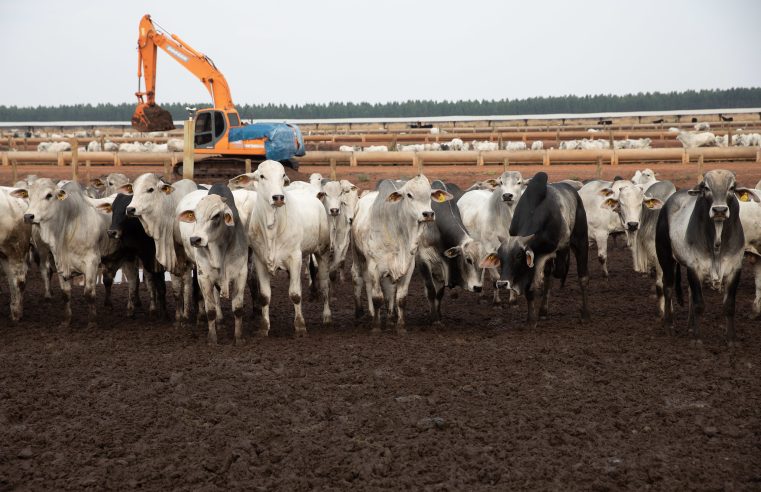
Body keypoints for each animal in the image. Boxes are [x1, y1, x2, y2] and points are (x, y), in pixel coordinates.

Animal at [478, 171, 592, 328]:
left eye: (518, 256)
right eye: (500, 257)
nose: (502, 283)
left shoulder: (545, 254)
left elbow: (538, 284)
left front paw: (532, 320)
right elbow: (531, 289)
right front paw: (531, 319)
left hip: (580, 240)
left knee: (582, 278)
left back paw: (585, 315)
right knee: (549, 278)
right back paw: (543, 311)